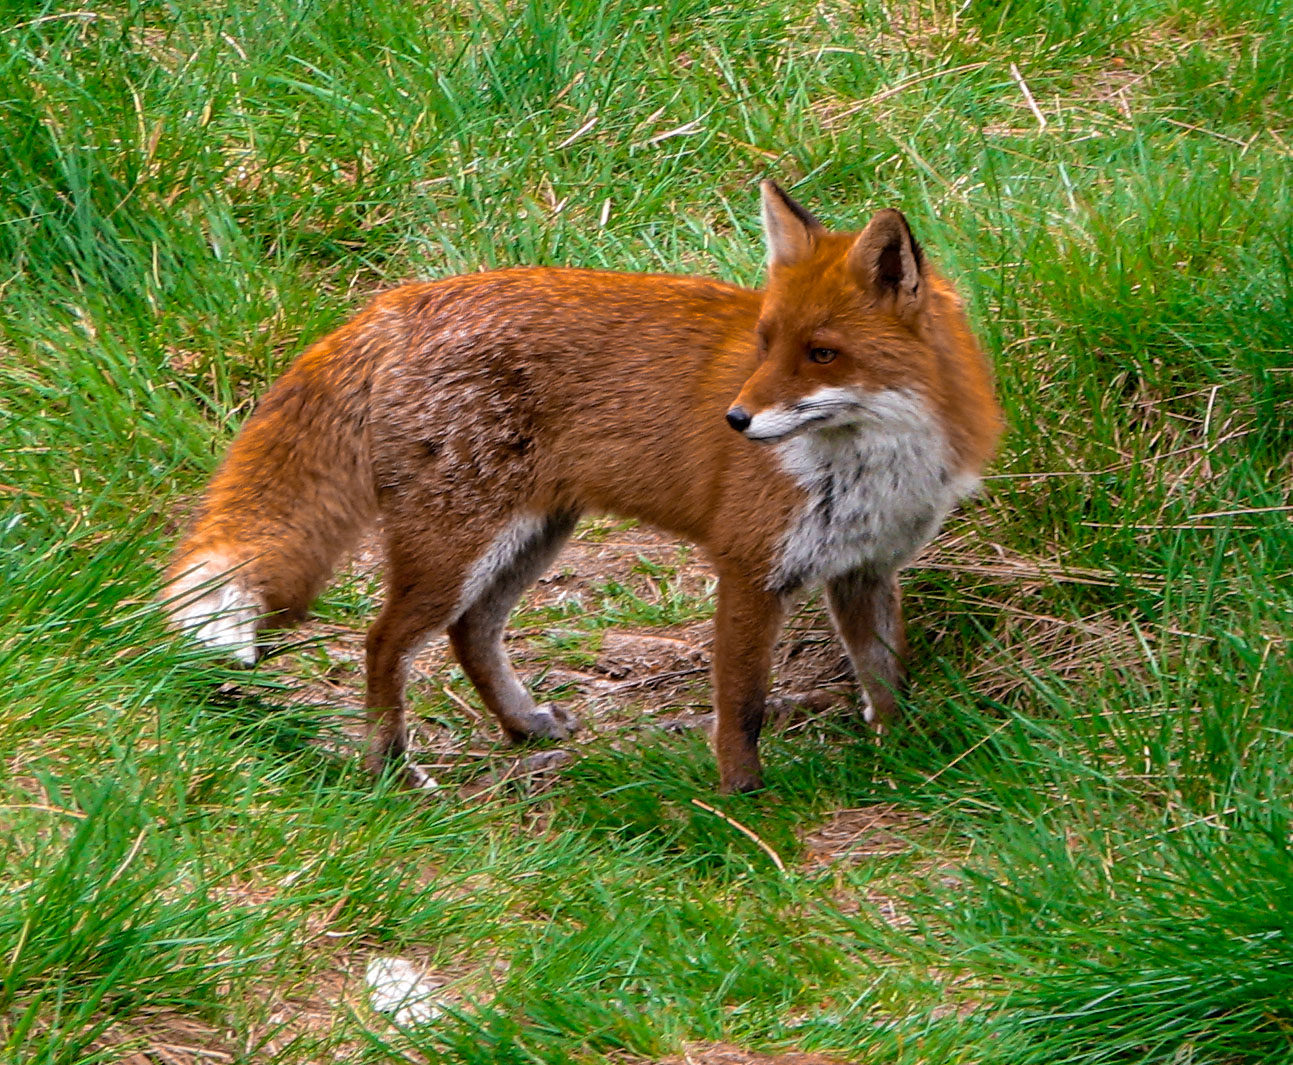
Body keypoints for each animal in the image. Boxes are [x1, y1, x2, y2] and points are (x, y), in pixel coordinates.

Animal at [166, 183, 1003, 796]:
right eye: (764, 344)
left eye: (821, 353)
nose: (735, 419)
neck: (871, 463)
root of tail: (401, 300)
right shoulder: (748, 566)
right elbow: (741, 706)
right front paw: (743, 803)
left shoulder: (865, 569)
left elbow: (886, 677)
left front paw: (899, 755)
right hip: (454, 547)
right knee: (385, 643)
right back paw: (392, 769)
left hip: (533, 534)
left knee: (469, 633)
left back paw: (521, 726)